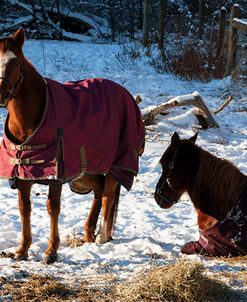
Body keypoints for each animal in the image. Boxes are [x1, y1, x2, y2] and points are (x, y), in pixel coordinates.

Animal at [0, 28, 145, 264]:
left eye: (16, 62)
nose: (1, 95)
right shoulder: (23, 174)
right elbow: (24, 208)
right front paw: (22, 249)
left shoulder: (56, 174)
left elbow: (53, 208)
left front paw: (51, 251)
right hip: (85, 171)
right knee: (99, 190)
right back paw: (88, 232)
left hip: (115, 164)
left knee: (108, 193)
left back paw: (101, 237)